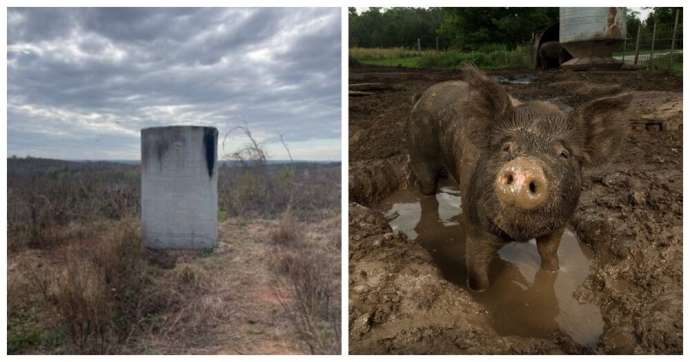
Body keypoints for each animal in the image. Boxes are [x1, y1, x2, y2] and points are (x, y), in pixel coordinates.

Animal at [406, 65, 632, 292]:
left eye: (564, 154)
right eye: (507, 147)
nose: (525, 167)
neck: (520, 234)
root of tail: (423, 94)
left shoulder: (559, 224)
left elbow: (549, 255)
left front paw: (552, 274)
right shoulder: (478, 229)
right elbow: (477, 272)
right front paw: (480, 294)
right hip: (419, 152)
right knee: (427, 190)